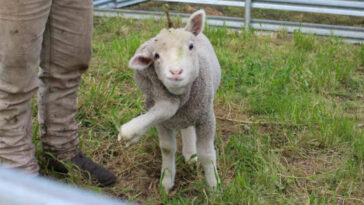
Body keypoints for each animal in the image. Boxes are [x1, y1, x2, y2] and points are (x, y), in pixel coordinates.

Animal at [118, 9, 222, 192]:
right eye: (156, 55)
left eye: (191, 46)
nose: (175, 72)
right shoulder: (164, 120)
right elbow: (167, 149)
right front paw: (166, 182)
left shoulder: (206, 119)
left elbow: (207, 154)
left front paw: (213, 186)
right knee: (186, 128)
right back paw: (189, 153)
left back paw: (191, 155)